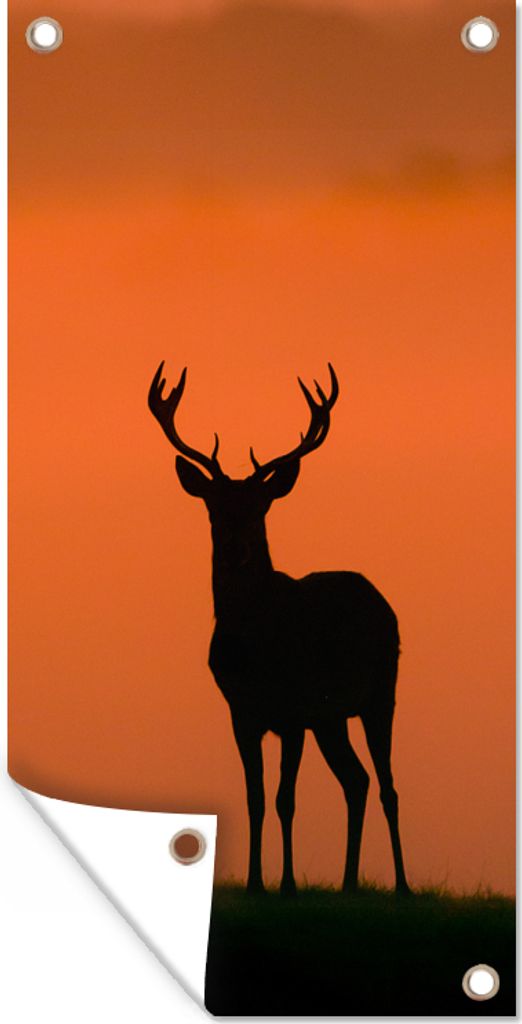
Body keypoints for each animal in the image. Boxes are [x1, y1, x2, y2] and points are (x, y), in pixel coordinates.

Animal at [149, 362, 409, 897]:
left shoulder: (293, 712)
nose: (236, 548)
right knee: (356, 780)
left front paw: (286, 885)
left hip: (381, 693)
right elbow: (255, 797)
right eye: (214, 505)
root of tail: (381, 600)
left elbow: (286, 799)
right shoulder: (242, 713)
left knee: (388, 785)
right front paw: (254, 883)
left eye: (260, 505)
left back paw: (401, 886)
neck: (255, 648)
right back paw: (348, 885)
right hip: (332, 718)